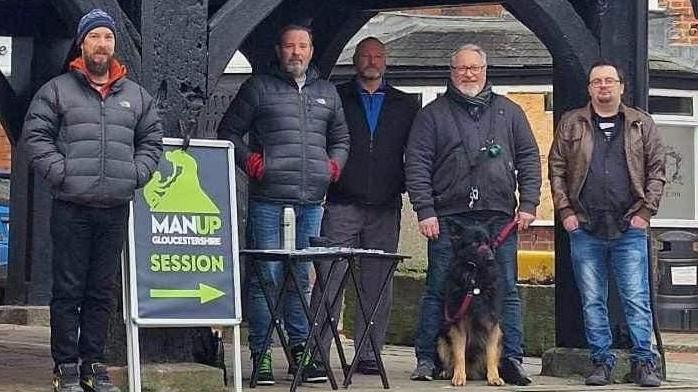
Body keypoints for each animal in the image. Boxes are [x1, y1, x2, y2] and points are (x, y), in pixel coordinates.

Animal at [436, 220, 500, 386]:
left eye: (488, 242)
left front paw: (494, 377)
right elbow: (459, 354)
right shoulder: (458, 324)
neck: (474, 282)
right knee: (450, 358)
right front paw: (459, 376)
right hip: (441, 340)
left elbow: (491, 353)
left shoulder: (492, 323)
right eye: (475, 243)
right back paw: (447, 372)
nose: (491, 259)